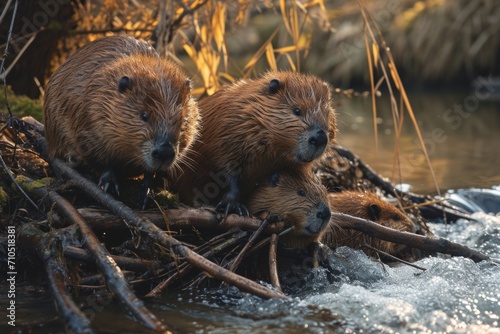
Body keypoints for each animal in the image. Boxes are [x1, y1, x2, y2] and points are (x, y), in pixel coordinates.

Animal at [43, 34, 199, 204]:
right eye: (144, 116)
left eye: (183, 119)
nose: (164, 152)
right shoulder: (87, 118)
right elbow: (98, 157)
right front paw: (109, 183)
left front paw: (147, 190)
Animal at [170, 71, 338, 215]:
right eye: (297, 111)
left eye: (327, 113)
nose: (320, 138)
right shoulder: (228, 136)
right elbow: (226, 173)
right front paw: (233, 206)